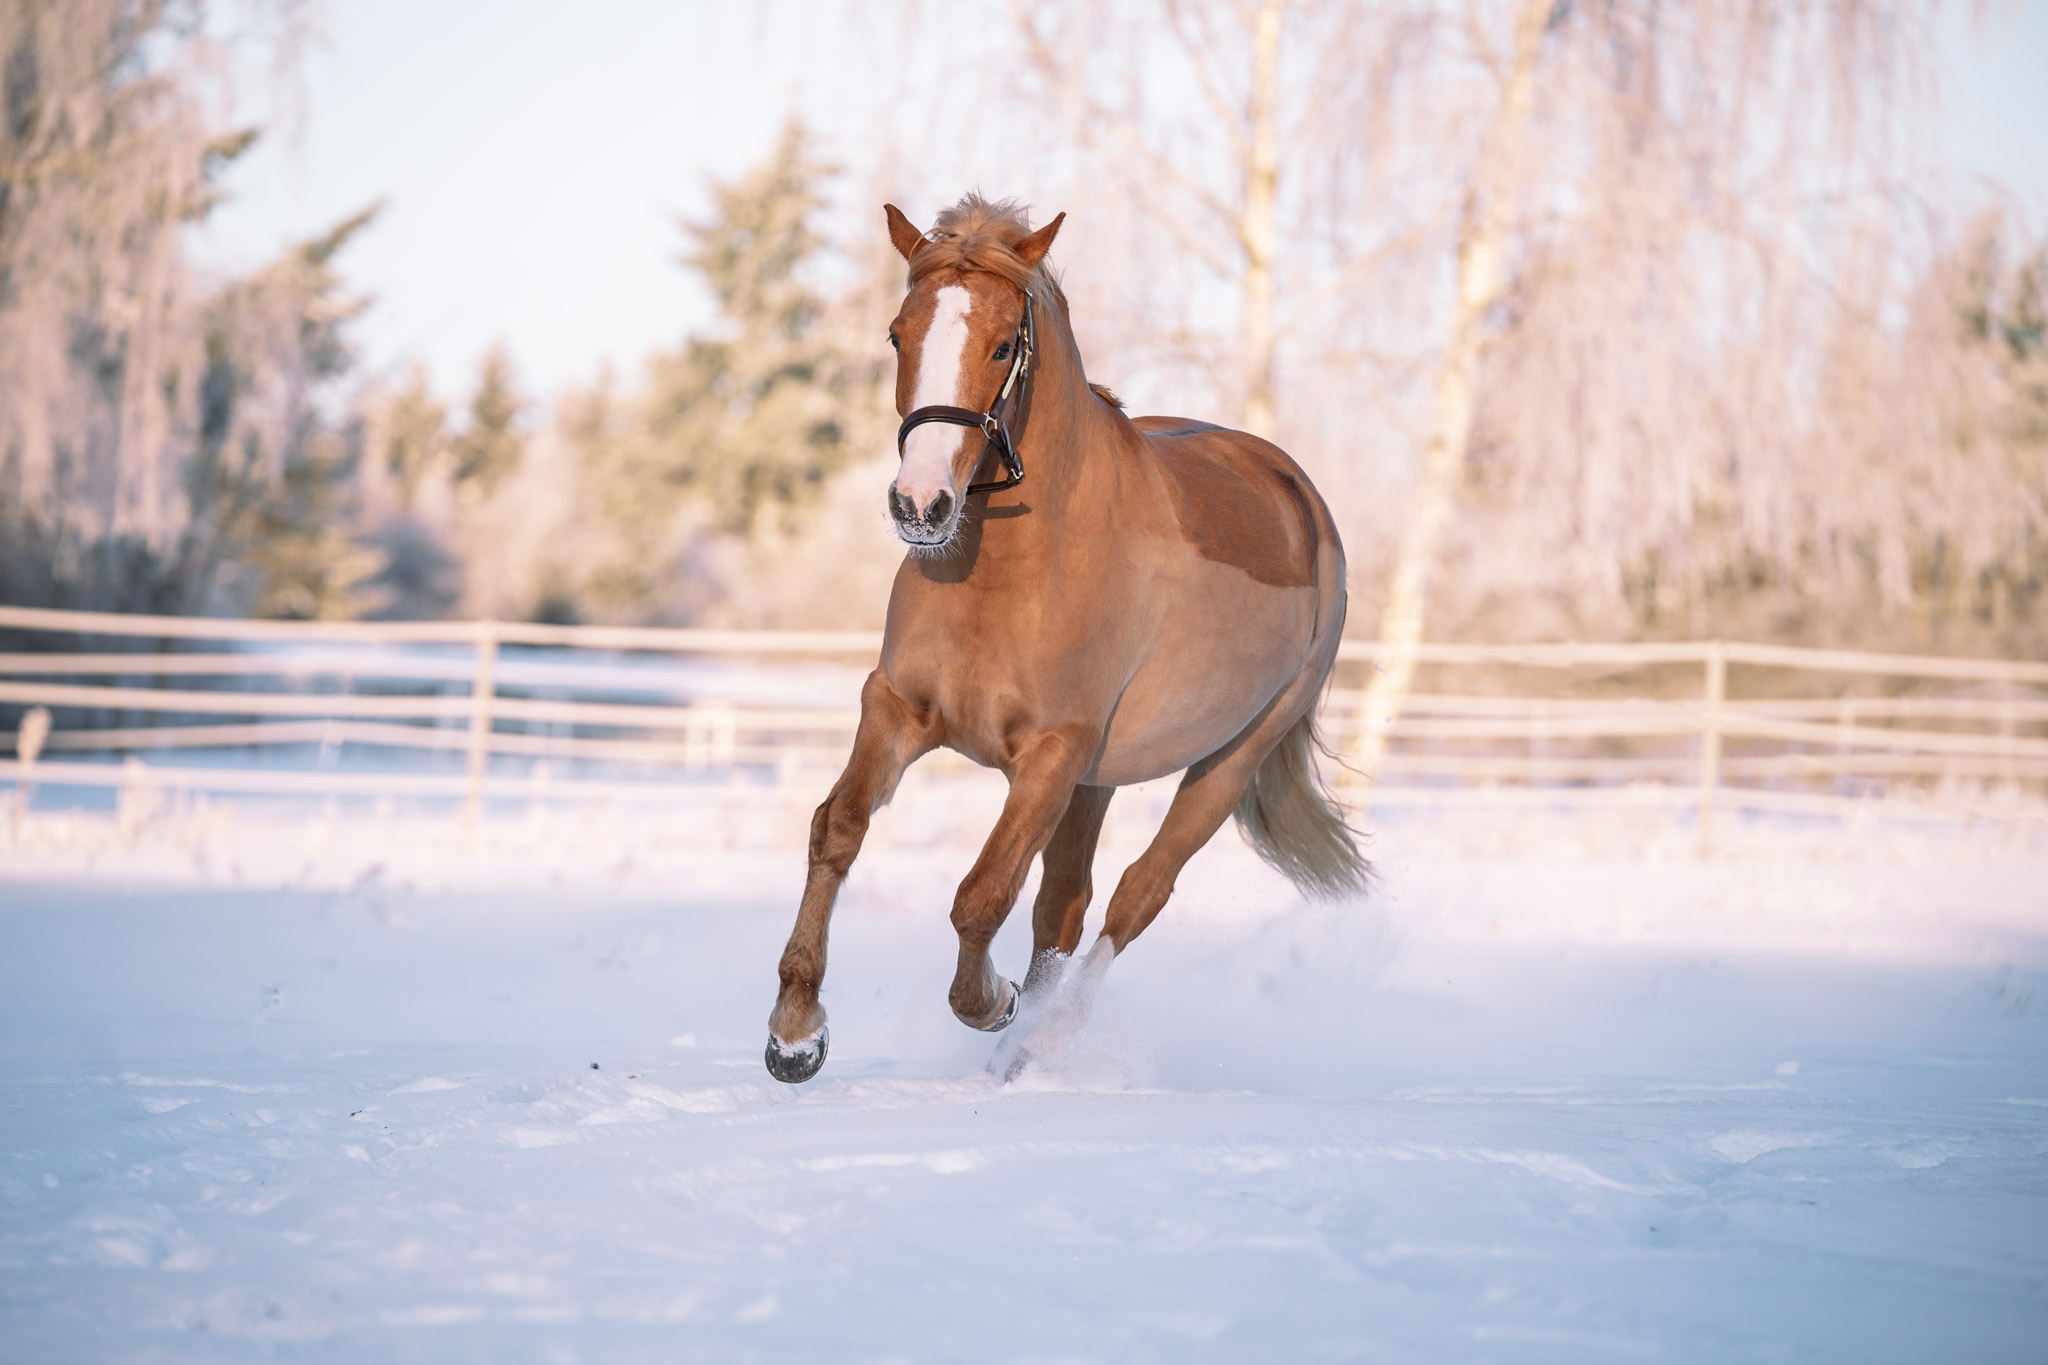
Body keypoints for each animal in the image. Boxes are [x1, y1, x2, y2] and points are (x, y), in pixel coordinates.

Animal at [761, 194, 1368, 1088]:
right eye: (899, 335)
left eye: (1003, 345)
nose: (920, 504)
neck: (1011, 572)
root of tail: (1303, 499)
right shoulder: (898, 709)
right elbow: (837, 828)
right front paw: (796, 1030)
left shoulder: (1049, 755)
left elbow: (981, 894)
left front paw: (994, 1003)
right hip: (1098, 781)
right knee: (1067, 903)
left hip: (1229, 760)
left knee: (1134, 895)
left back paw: (1038, 1039)